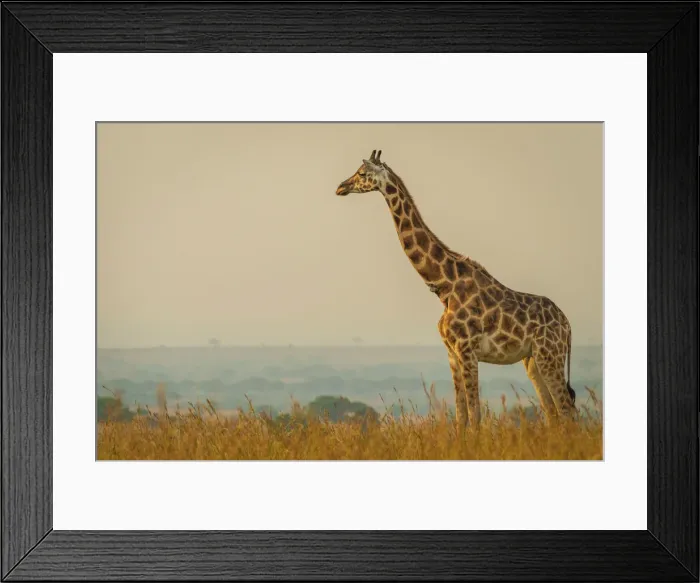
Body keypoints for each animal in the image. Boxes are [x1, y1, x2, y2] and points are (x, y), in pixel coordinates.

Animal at [335, 150, 576, 428]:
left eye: (362, 173)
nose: (341, 187)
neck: (444, 287)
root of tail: (568, 324)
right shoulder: (452, 353)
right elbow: (461, 417)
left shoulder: (467, 350)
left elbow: (475, 416)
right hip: (533, 360)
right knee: (554, 413)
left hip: (550, 356)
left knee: (567, 410)